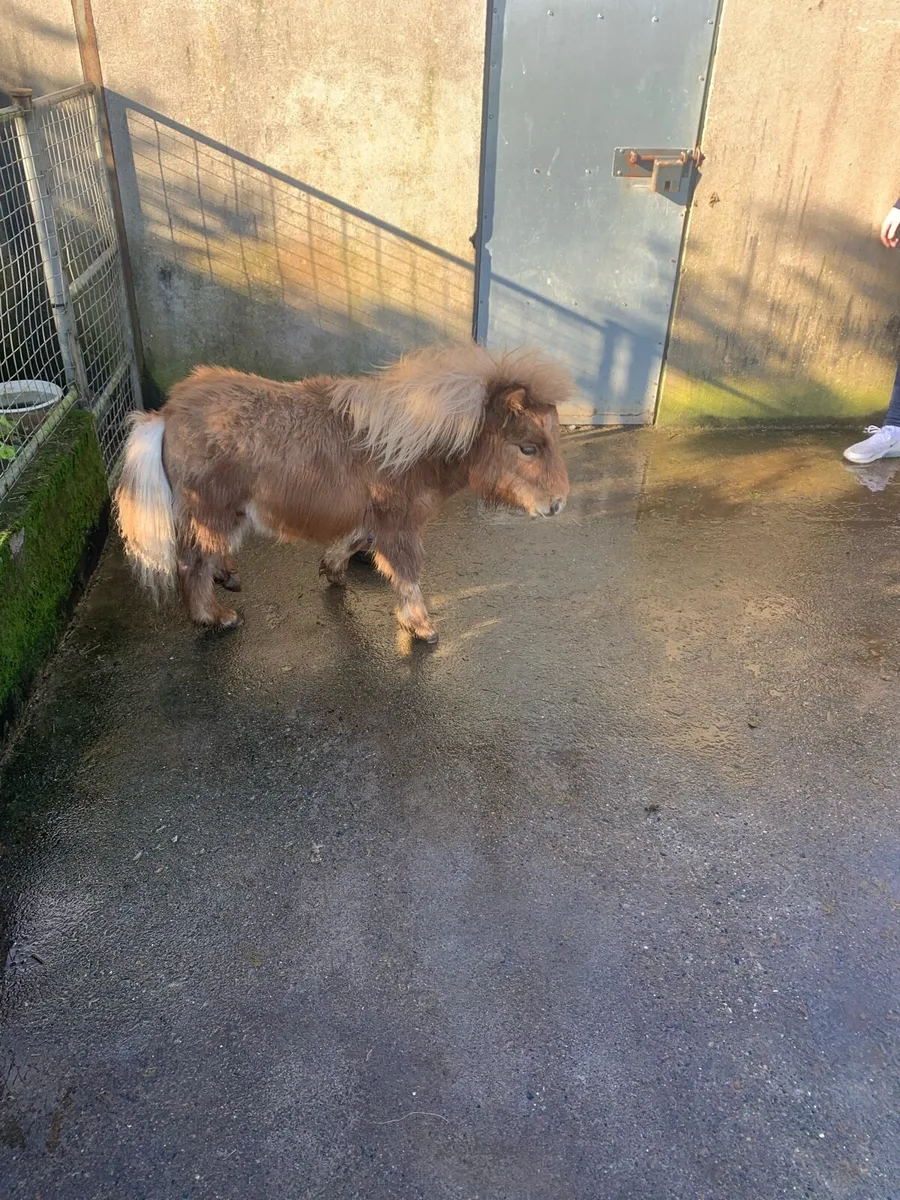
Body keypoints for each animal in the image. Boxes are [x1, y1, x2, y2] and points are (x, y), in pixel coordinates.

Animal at [114, 342, 571, 643]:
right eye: (528, 448)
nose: (558, 504)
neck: (408, 446)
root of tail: (167, 414)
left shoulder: (373, 518)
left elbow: (354, 542)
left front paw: (332, 571)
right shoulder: (397, 524)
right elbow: (407, 571)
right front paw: (421, 627)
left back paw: (227, 577)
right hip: (213, 511)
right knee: (191, 562)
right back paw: (214, 617)